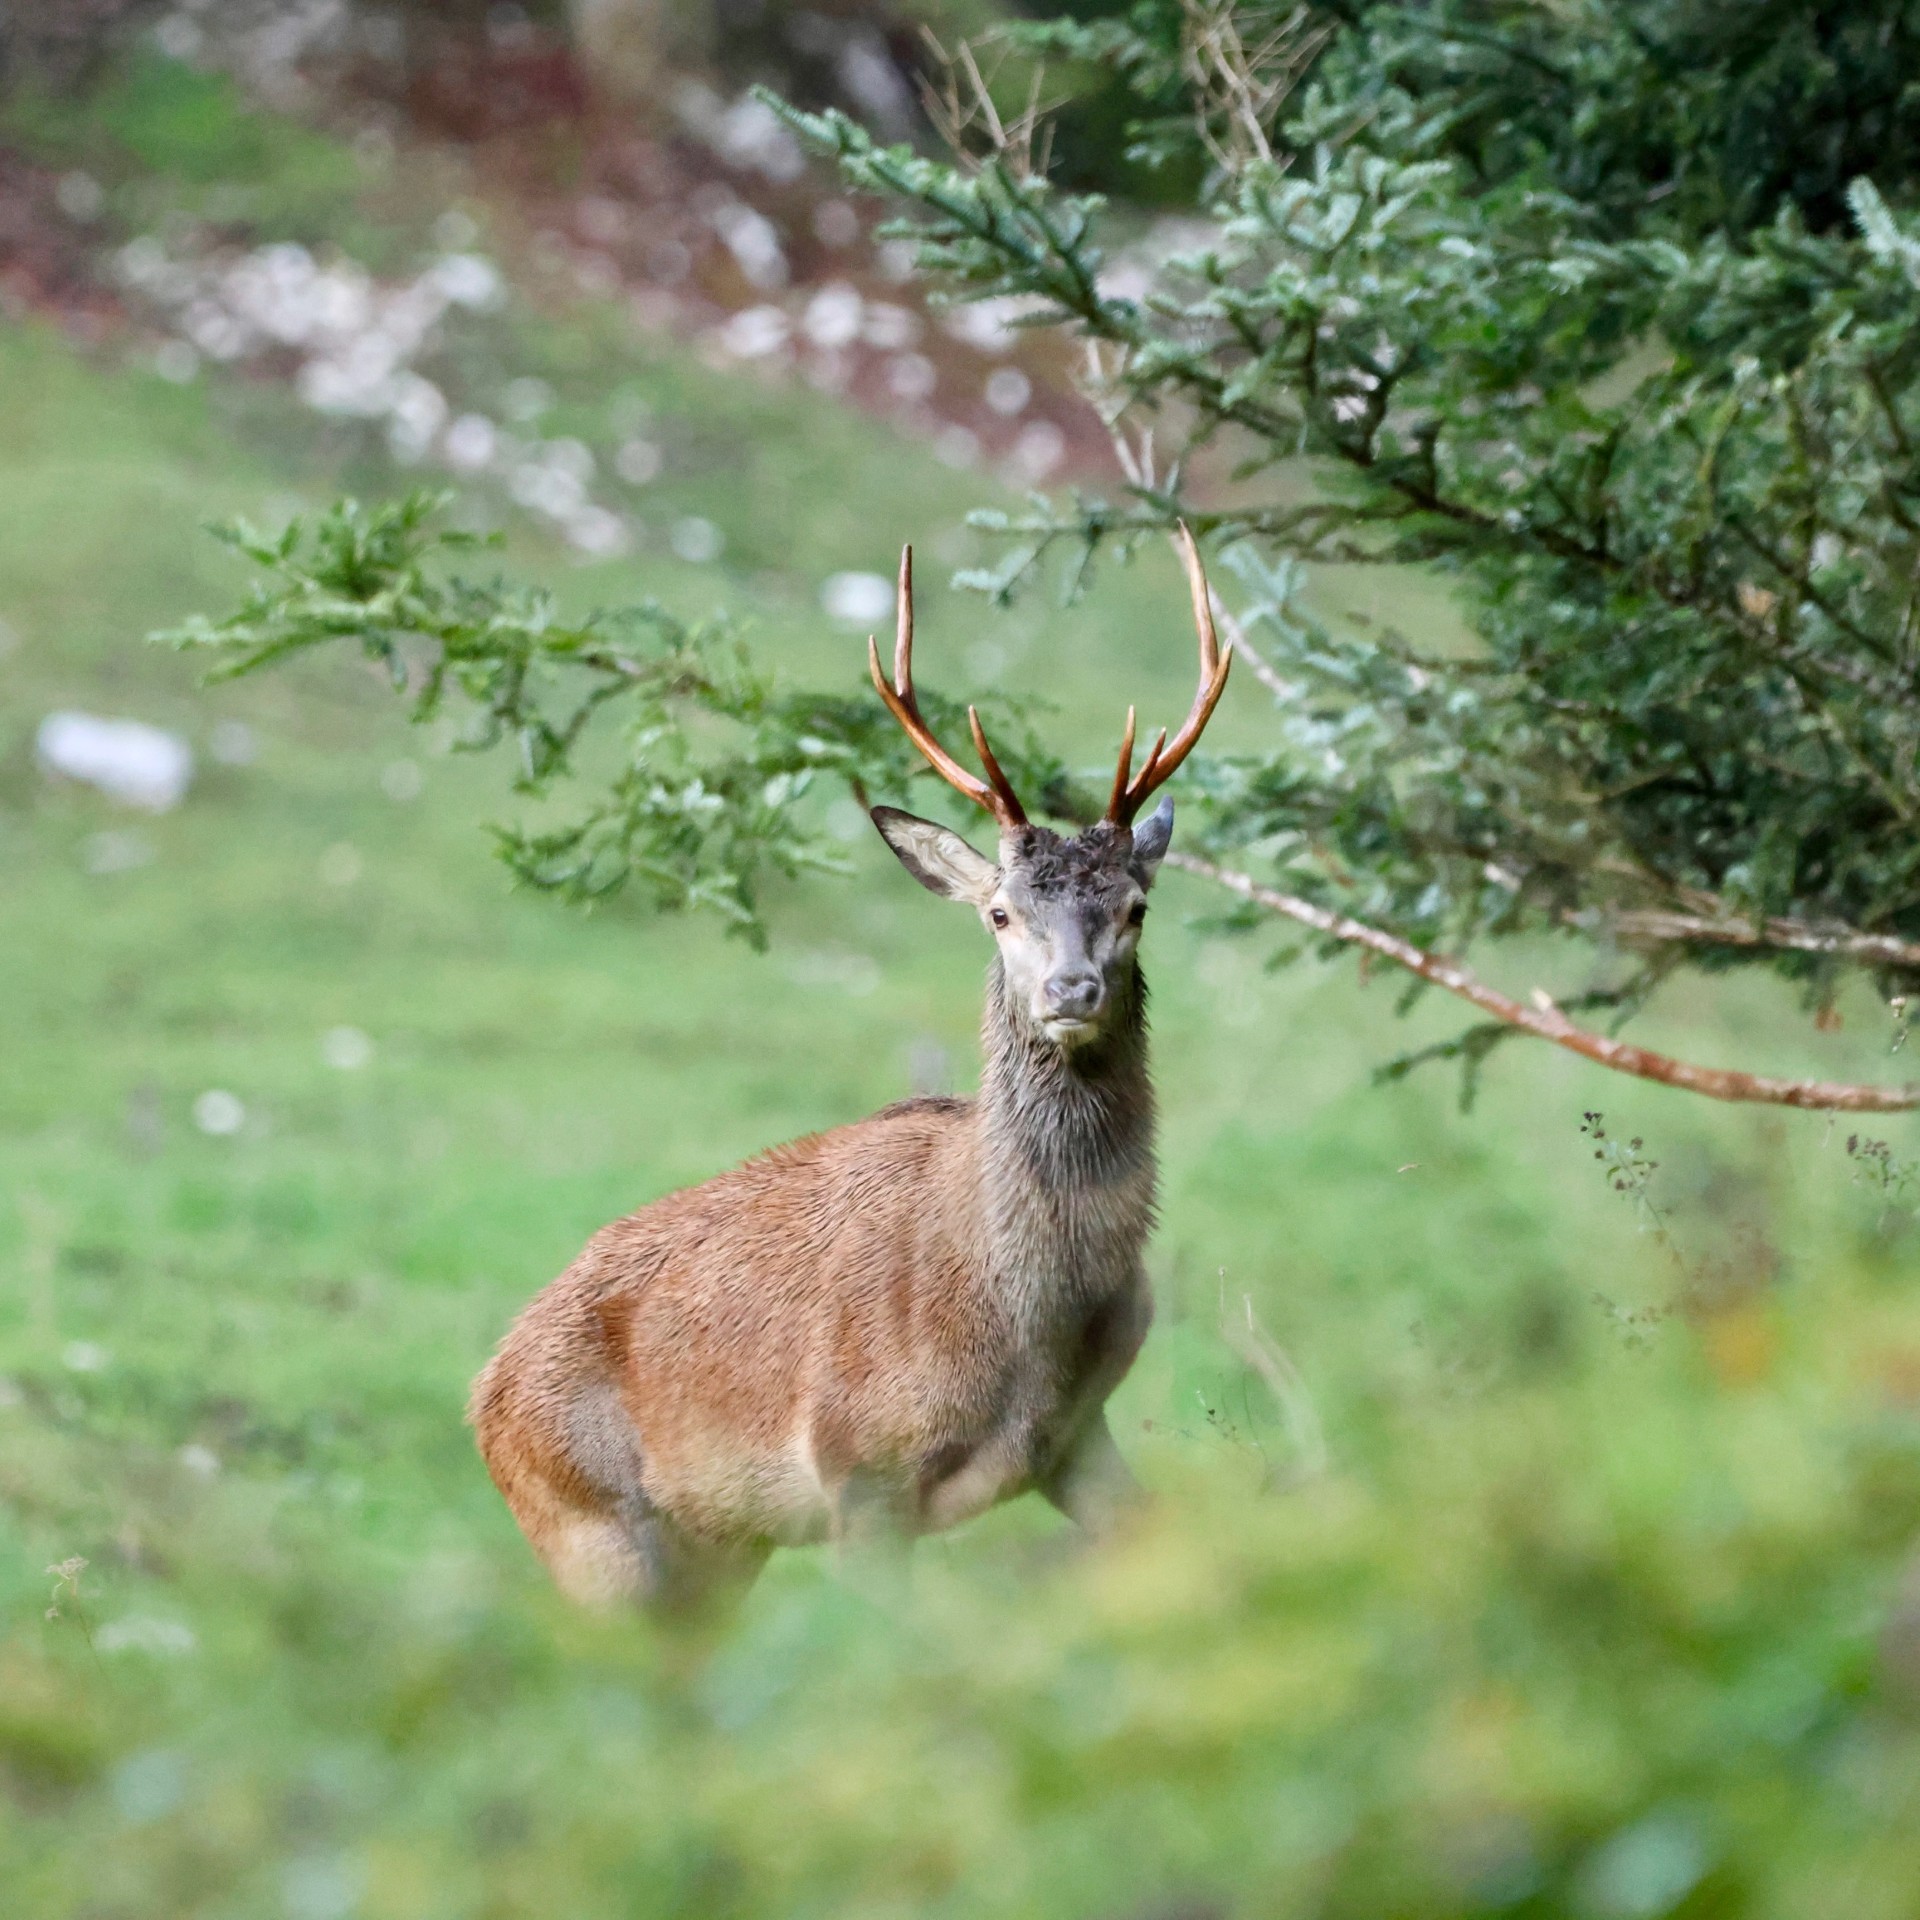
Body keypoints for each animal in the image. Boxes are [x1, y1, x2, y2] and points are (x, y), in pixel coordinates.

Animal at [468, 529, 1231, 1610]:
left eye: (1135, 906)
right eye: (1000, 912)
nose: (1072, 989)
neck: (1028, 1321)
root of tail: (481, 1396)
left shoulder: (1077, 1438)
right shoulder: (856, 1467)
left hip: (716, 1556)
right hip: (592, 1537)